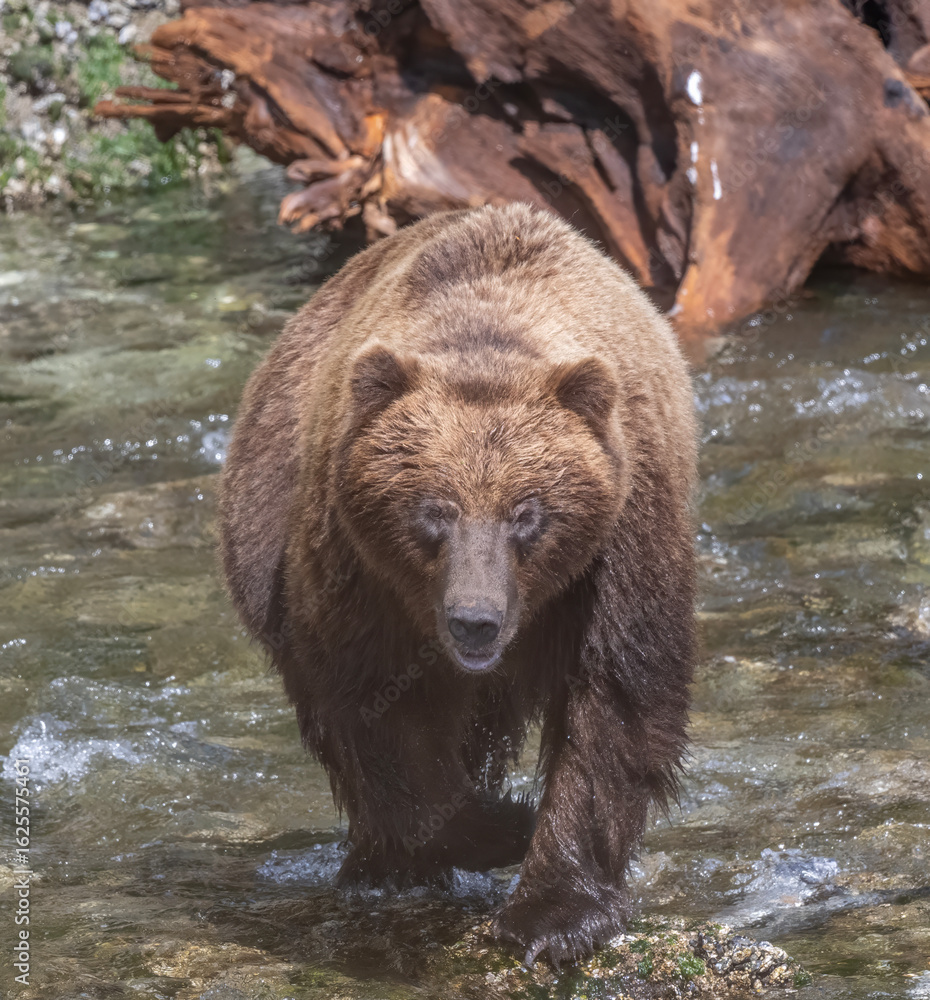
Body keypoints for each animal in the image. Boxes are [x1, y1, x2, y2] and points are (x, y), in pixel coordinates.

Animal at [217, 202, 697, 966]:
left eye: (528, 513)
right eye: (433, 511)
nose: (476, 619)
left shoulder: (623, 541)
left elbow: (615, 699)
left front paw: (554, 914)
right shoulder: (361, 571)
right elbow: (380, 717)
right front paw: (500, 827)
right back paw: (377, 866)